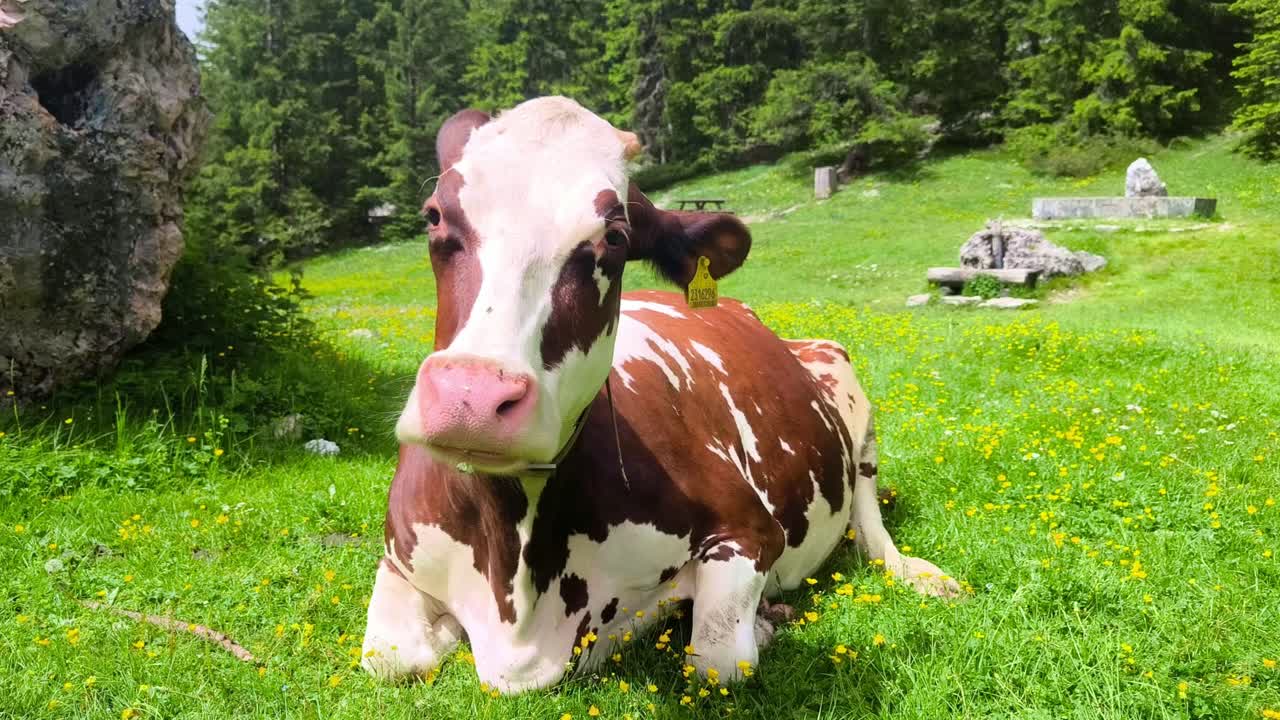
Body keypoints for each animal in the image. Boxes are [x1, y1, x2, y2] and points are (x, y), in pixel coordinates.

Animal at [361, 96, 960, 694]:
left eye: (615, 238)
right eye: (435, 215)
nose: (472, 398)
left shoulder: (751, 531)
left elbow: (719, 658)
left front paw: (760, 623)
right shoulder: (397, 560)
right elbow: (388, 657)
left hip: (848, 393)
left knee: (872, 522)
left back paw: (921, 575)